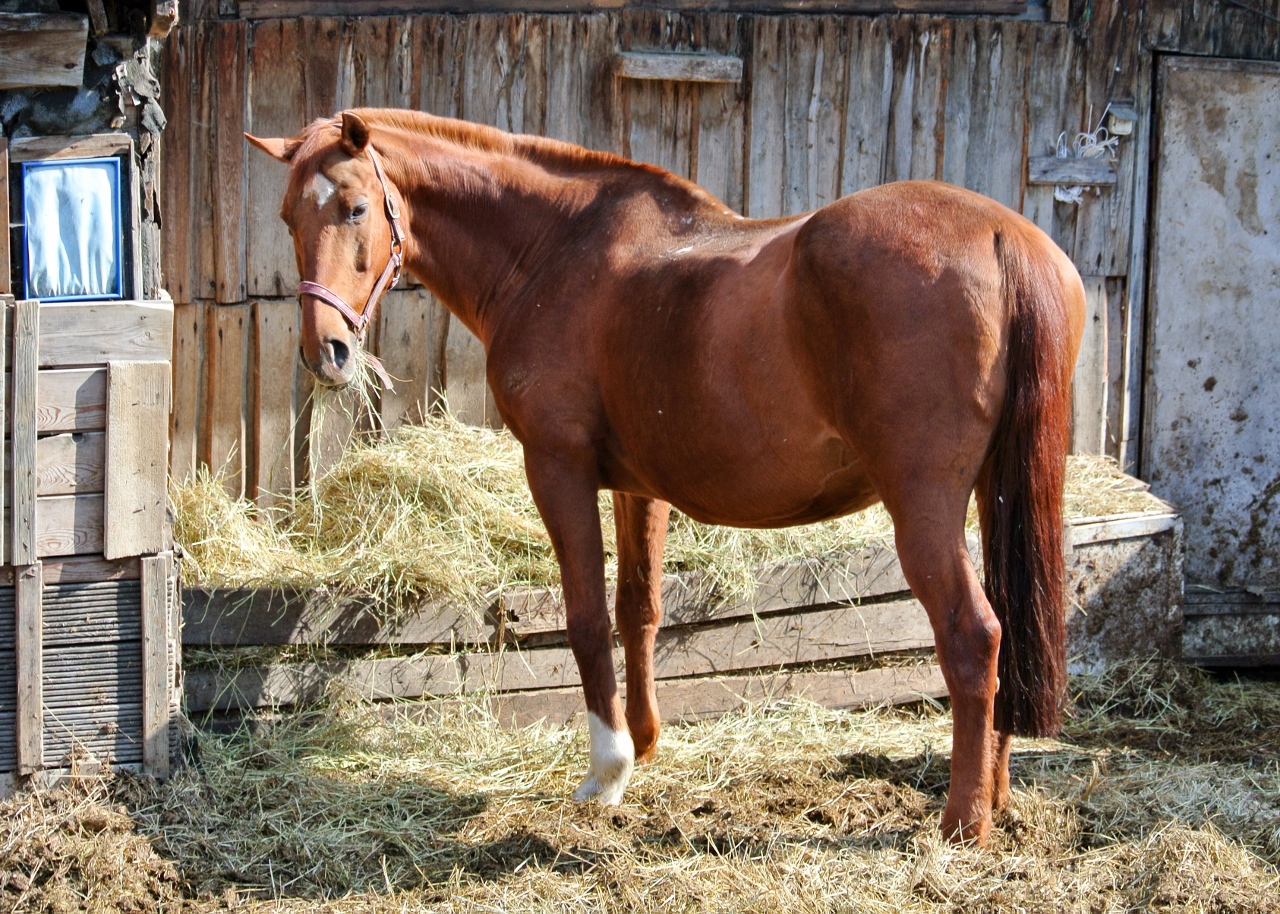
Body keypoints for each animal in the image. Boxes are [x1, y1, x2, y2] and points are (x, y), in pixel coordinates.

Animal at [246, 108, 1084, 846]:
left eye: (355, 206)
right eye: (287, 216)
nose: (326, 353)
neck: (555, 249)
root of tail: (1006, 238)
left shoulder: (557, 466)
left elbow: (586, 618)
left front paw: (606, 771)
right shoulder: (636, 483)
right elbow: (638, 609)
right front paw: (644, 743)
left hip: (923, 505)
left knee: (973, 637)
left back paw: (962, 822)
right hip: (993, 494)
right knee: (1009, 627)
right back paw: (997, 799)